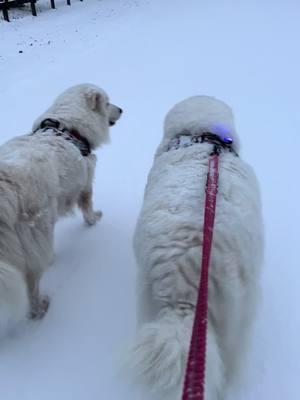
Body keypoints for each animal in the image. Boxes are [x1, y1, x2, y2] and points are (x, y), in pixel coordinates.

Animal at [0, 83, 122, 334]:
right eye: (108, 103)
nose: (122, 110)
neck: (69, 128)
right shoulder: (86, 181)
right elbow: (87, 206)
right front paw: (94, 219)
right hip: (34, 236)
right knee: (31, 282)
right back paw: (40, 308)